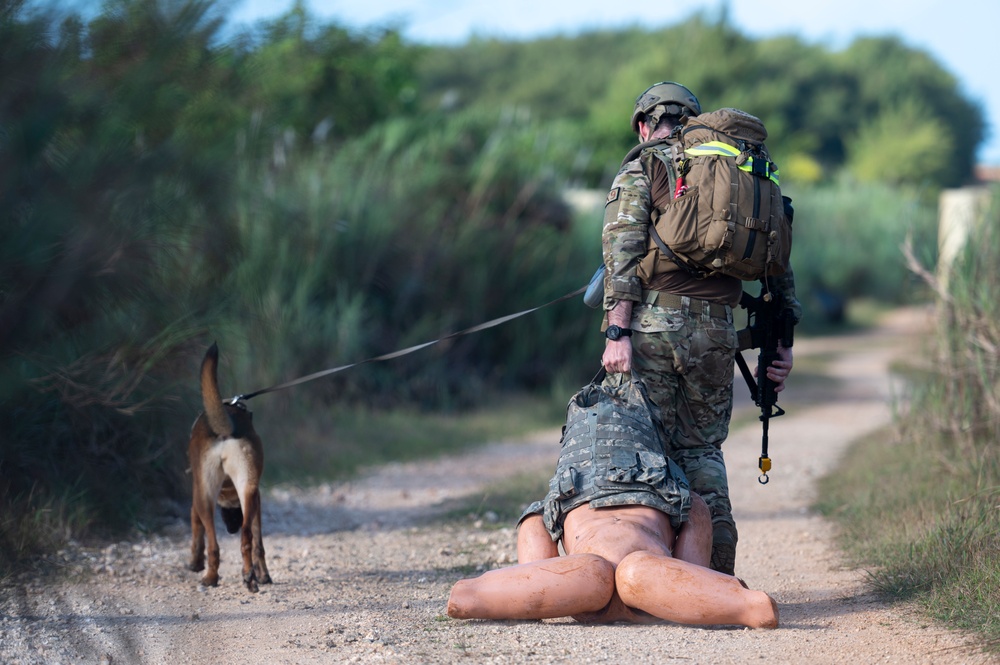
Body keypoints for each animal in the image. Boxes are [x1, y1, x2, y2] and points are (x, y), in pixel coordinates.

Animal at [188, 342, 272, 592]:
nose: (231, 528)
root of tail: (225, 428)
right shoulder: (256, 498)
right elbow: (258, 543)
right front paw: (262, 574)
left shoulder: (195, 494)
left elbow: (196, 528)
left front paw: (194, 562)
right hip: (248, 490)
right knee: (248, 539)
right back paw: (249, 577)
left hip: (204, 496)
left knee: (214, 545)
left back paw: (210, 577)